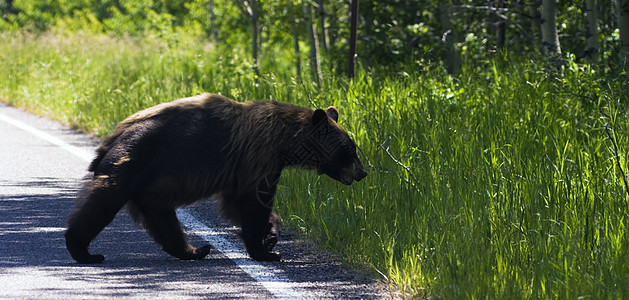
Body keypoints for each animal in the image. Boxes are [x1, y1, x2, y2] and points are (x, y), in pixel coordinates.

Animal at [64, 93, 366, 262]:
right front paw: (266, 251)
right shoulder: (259, 156)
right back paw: (83, 250)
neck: (285, 142)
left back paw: (194, 250)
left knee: (163, 219)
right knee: (104, 200)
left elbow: (239, 203)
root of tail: (112, 137)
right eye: (350, 150)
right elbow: (253, 201)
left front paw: (272, 235)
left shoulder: (247, 168)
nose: (363, 172)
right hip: (134, 159)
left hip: (150, 185)